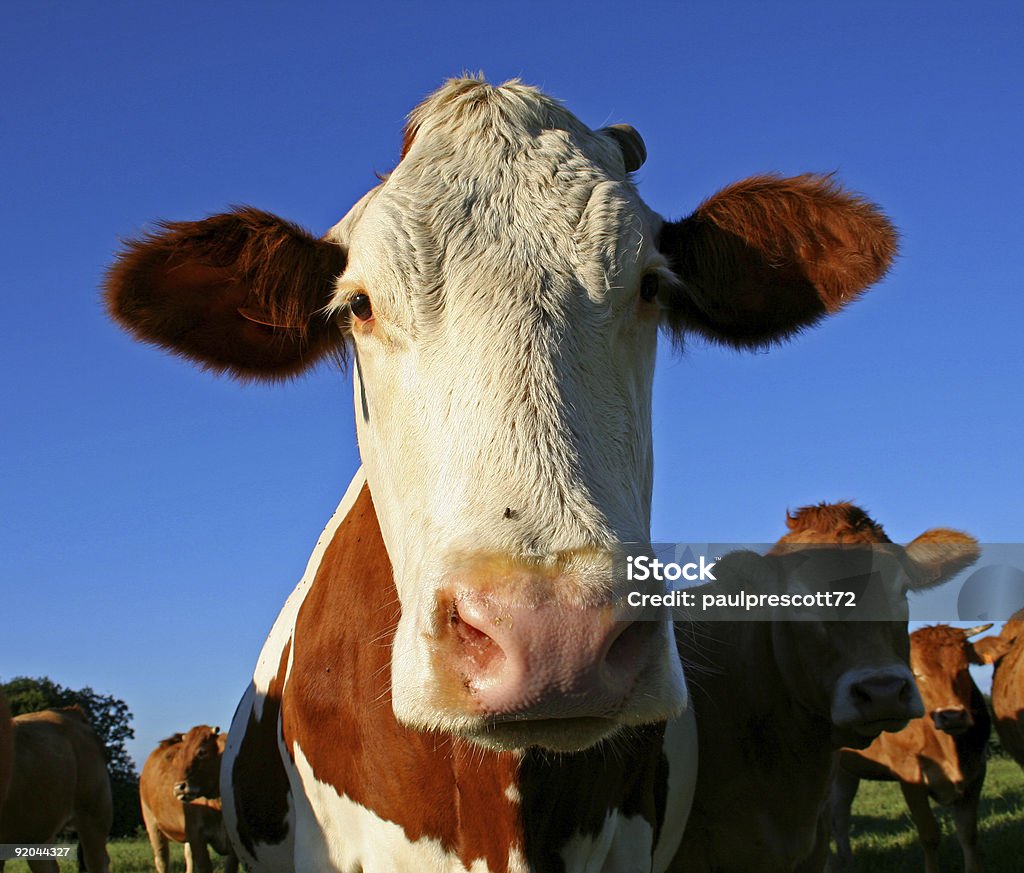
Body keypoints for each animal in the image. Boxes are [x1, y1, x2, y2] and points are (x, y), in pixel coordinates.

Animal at [140, 724, 237, 871]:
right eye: (181, 756)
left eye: (202, 752)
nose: (178, 787)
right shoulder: (197, 836)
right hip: (151, 822)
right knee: (162, 860)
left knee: (189, 857)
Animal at [831, 622, 991, 871]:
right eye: (917, 674)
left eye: (964, 667)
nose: (952, 716)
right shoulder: (909, 773)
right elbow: (929, 835)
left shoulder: (977, 770)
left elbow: (968, 834)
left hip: (845, 771)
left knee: (839, 813)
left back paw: (847, 863)